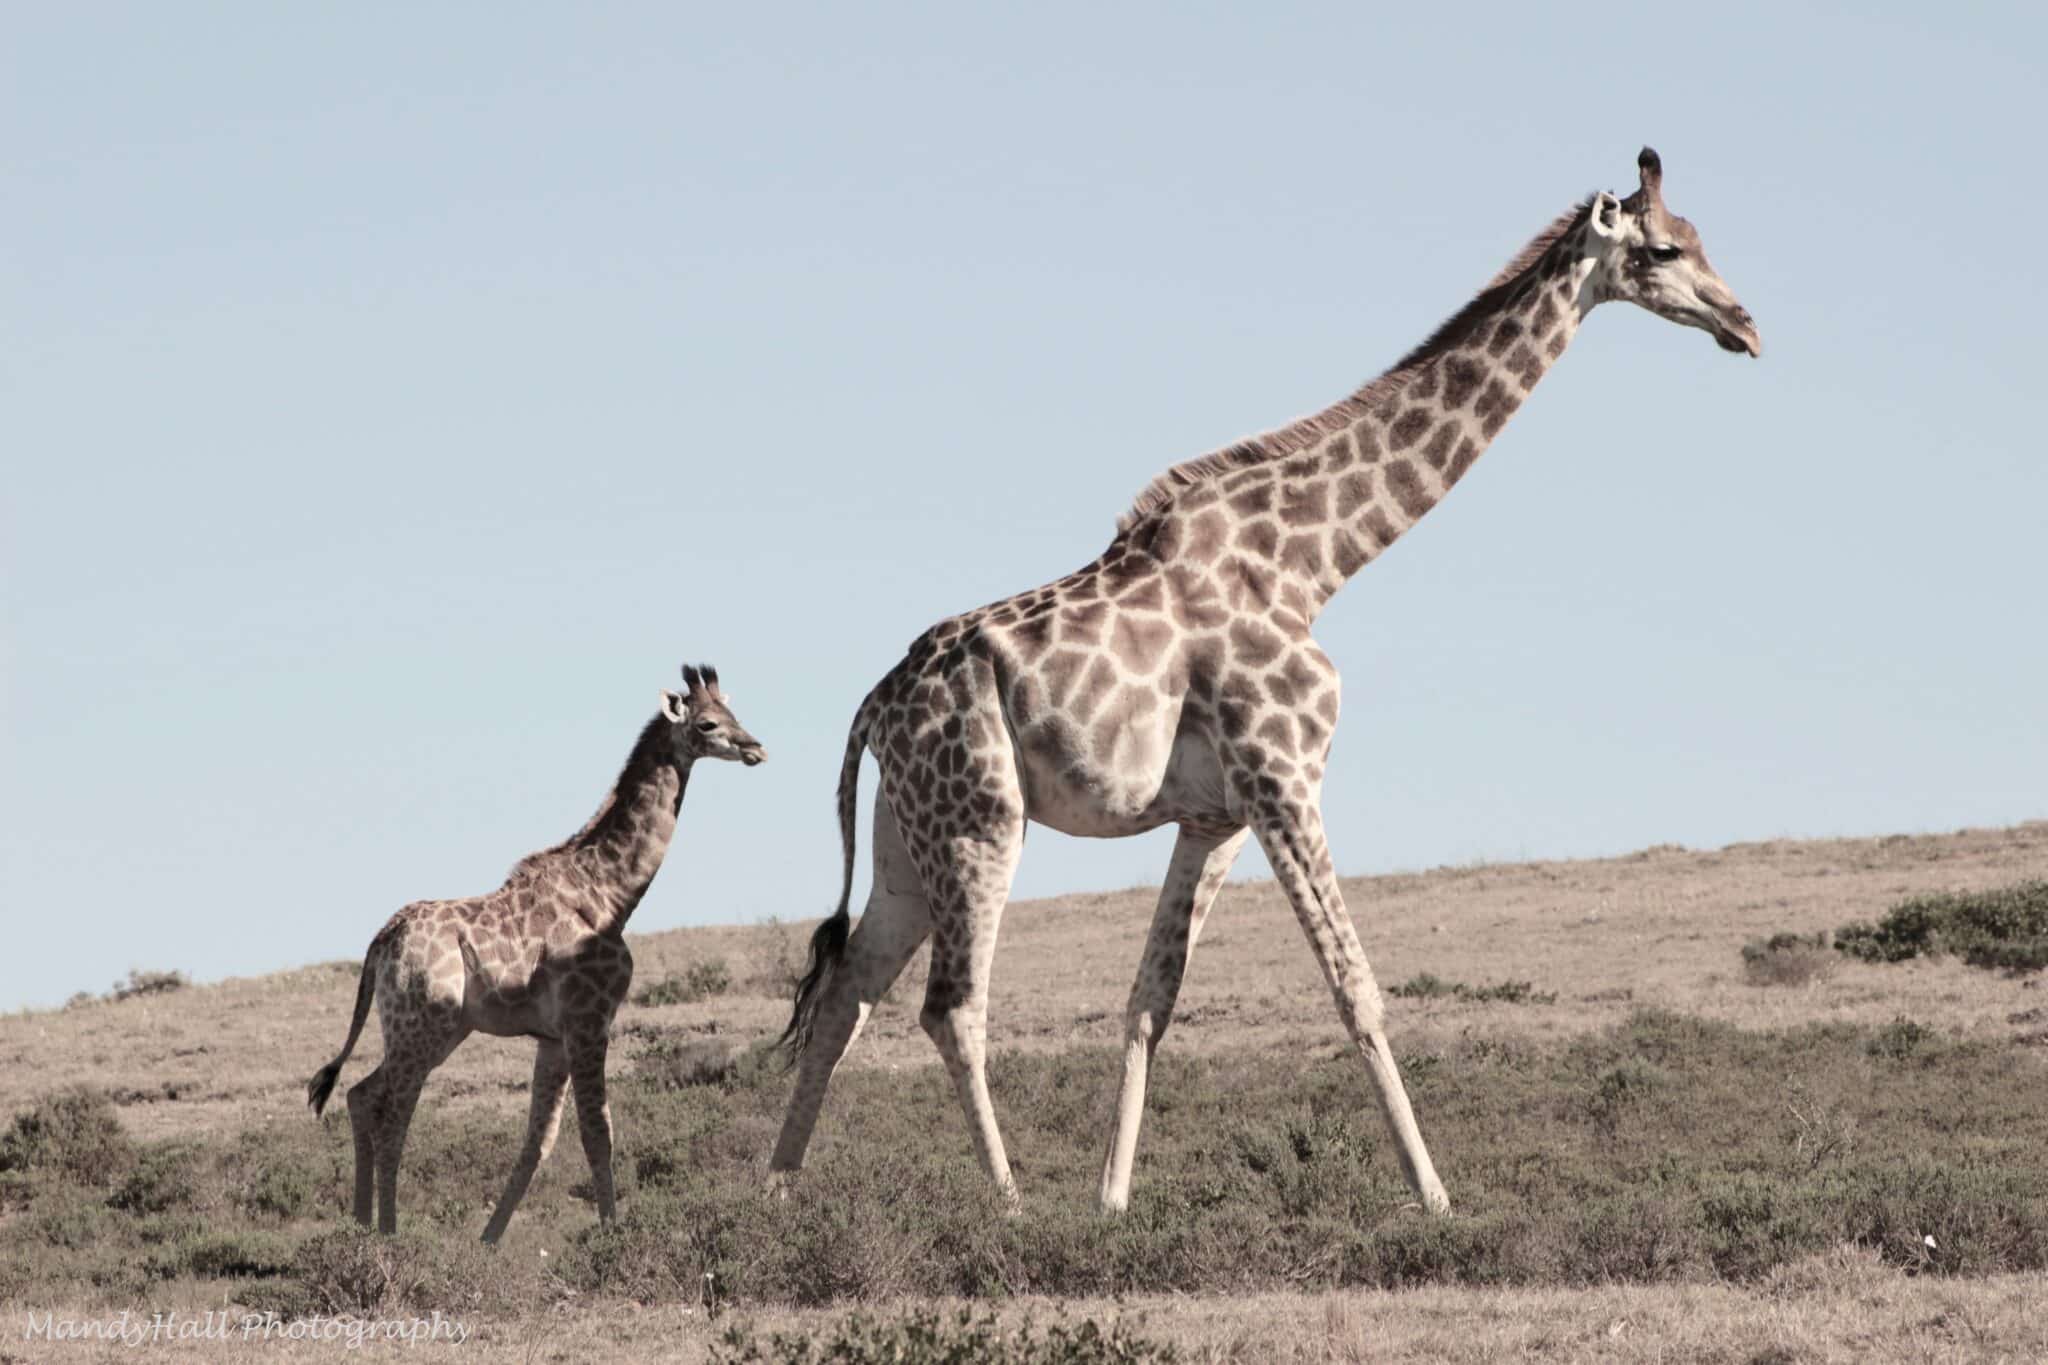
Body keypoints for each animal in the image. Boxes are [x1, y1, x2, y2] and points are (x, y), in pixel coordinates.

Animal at [299, 667, 757, 1244]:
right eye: (708, 723)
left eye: (736, 713)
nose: (756, 747)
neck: (613, 894)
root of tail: (381, 940)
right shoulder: (589, 1021)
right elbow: (597, 1131)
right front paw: (614, 1234)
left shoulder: (552, 1038)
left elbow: (539, 1141)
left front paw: (488, 1241)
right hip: (424, 1025)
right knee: (393, 1115)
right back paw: (389, 1234)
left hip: (431, 1029)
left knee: (361, 1095)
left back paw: (361, 1227)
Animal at [770, 152, 1761, 1219]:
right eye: (1662, 250)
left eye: (1699, 238)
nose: (1745, 324)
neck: (1316, 562)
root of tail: (874, 706)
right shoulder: (1285, 778)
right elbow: (1356, 990)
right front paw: (1436, 1198)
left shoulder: (1216, 815)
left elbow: (1149, 1002)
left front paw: (1113, 1204)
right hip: (980, 820)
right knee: (951, 1007)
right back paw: (1010, 1206)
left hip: (905, 840)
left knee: (846, 991)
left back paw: (771, 1199)